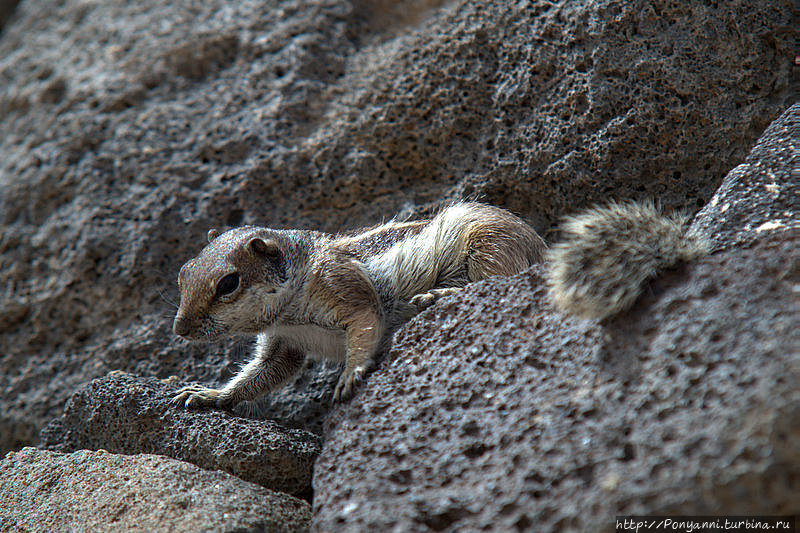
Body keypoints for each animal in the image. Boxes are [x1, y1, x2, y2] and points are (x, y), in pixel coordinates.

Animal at [172, 202, 548, 406]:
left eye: (228, 283)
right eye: (183, 272)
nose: (180, 329)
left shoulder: (344, 289)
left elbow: (365, 325)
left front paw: (349, 375)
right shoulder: (282, 343)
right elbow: (262, 373)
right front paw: (210, 394)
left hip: (490, 244)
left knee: (500, 278)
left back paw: (440, 295)